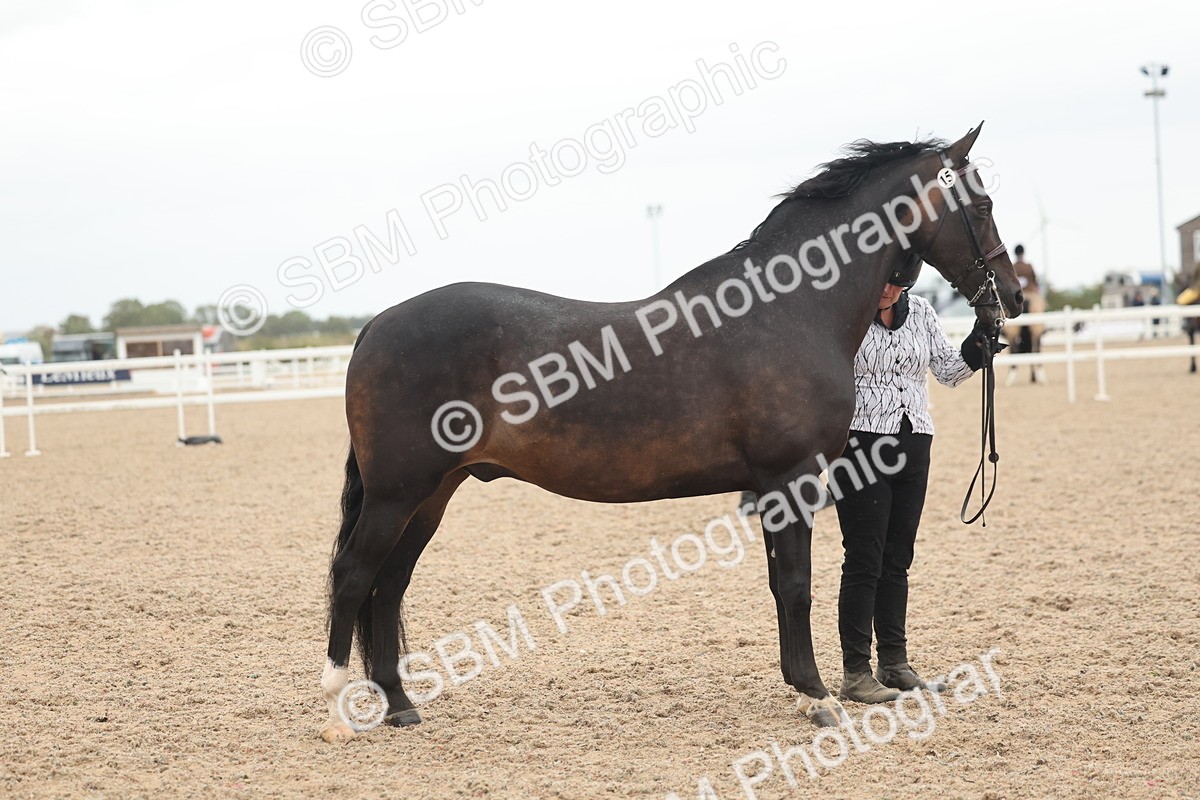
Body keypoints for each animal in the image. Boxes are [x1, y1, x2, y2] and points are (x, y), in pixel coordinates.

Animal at [319, 124, 1024, 743]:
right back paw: (337, 713)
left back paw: (401, 706)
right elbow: (798, 585)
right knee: (356, 575)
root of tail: (376, 324)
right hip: (398, 492)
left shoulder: (773, 489)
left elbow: (780, 585)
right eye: (983, 204)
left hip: (433, 492)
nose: (1011, 299)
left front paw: (801, 689)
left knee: (390, 585)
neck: (789, 312)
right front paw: (818, 698)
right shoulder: (792, 478)